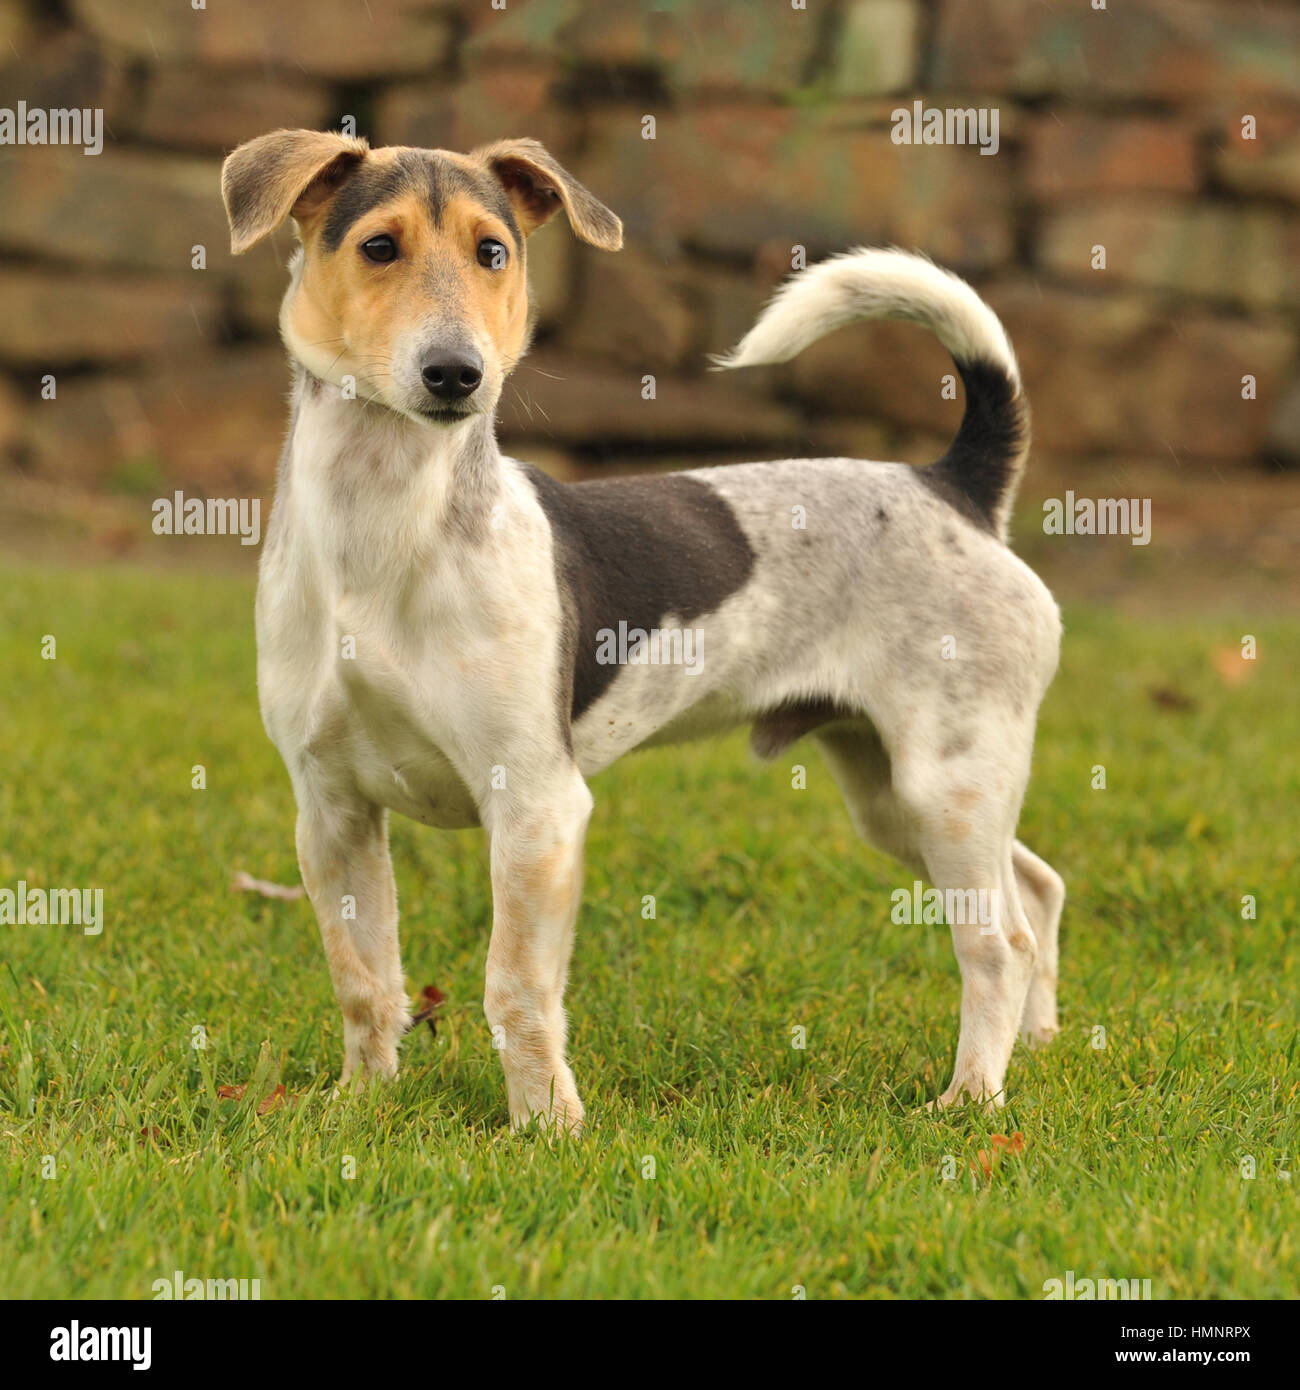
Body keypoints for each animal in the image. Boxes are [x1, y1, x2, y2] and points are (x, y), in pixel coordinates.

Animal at [218, 130, 1062, 1128]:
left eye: (492, 254)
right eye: (378, 248)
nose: (456, 373)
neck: (384, 529)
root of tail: (955, 489)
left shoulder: (536, 807)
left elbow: (516, 986)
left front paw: (547, 1128)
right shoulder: (331, 811)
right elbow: (363, 980)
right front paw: (362, 1104)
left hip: (946, 786)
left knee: (999, 942)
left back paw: (972, 1098)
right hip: (896, 798)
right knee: (1037, 887)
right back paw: (1040, 1045)